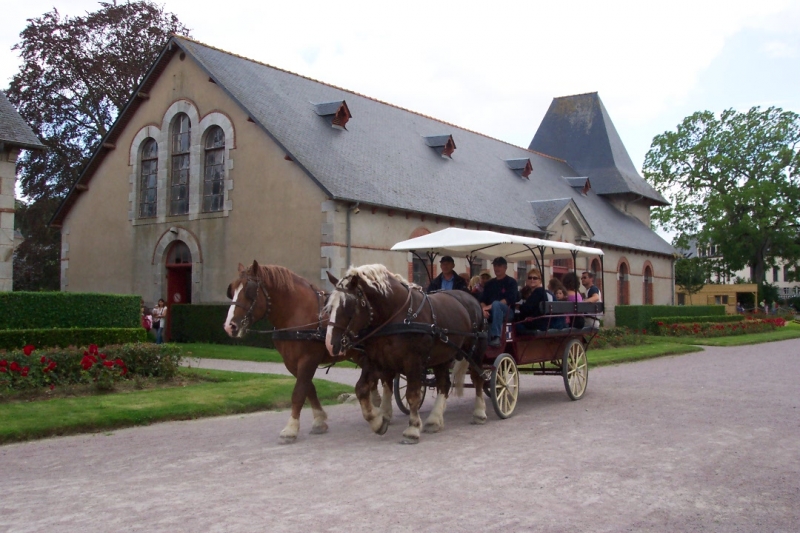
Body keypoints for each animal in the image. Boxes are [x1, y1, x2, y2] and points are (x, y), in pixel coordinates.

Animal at [222, 260, 394, 440]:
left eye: (249, 291)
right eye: (231, 290)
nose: (229, 326)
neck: (297, 313)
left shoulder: (308, 358)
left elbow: (299, 392)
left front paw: (291, 427)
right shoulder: (291, 362)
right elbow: (308, 388)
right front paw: (319, 420)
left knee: (386, 378)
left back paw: (384, 410)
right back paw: (377, 404)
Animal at [324, 264, 488, 442]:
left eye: (348, 306)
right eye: (329, 307)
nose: (330, 344)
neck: (396, 316)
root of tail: (470, 298)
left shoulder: (413, 362)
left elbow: (412, 395)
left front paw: (412, 428)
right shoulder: (376, 360)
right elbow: (362, 388)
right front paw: (378, 421)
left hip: (475, 351)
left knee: (478, 378)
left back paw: (479, 412)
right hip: (442, 356)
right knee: (443, 384)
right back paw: (434, 420)